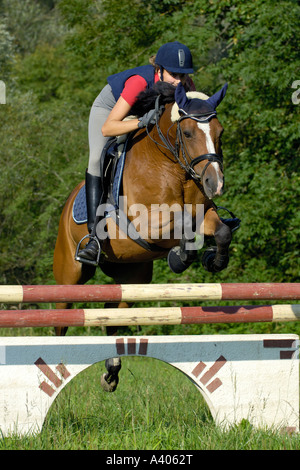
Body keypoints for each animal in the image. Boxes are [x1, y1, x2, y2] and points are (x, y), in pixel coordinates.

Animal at [52, 82, 238, 392]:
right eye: (188, 133)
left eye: (220, 132)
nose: (216, 184)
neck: (174, 168)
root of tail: (66, 206)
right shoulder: (147, 222)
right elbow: (184, 223)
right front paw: (179, 257)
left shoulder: (204, 214)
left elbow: (219, 229)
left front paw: (213, 260)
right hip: (70, 276)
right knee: (61, 320)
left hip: (133, 278)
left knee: (113, 316)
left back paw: (111, 372)